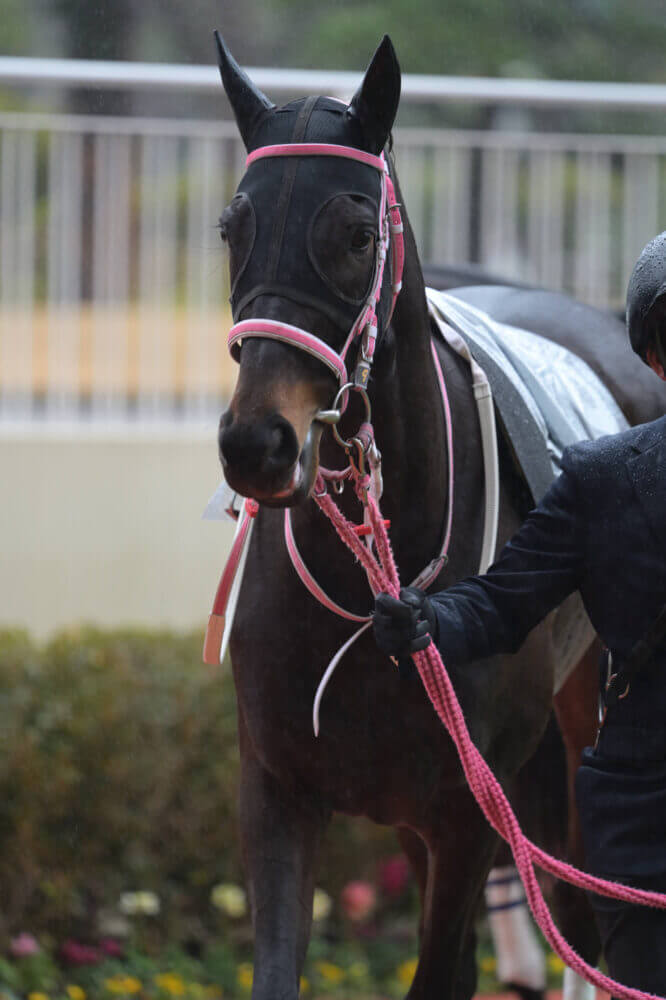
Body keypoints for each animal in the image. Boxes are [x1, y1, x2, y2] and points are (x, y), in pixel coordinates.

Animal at [210, 31, 664, 1000]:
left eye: (355, 233)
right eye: (234, 227)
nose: (257, 443)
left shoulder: (466, 817)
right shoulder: (277, 793)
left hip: (579, 732)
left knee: (585, 911)